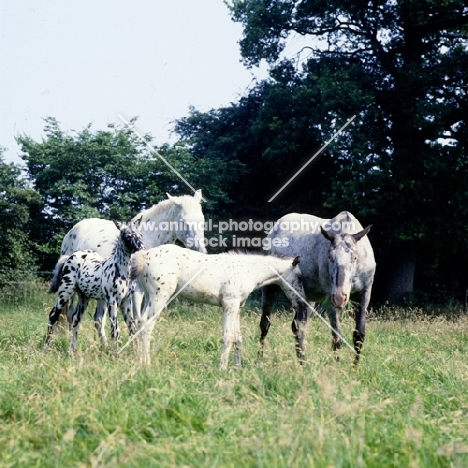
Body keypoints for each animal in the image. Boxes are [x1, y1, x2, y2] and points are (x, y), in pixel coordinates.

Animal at [46, 220, 144, 352]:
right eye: (127, 236)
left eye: (140, 234)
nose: (141, 248)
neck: (121, 271)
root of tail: (69, 257)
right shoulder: (112, 301)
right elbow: (115, 330)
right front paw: (116, 353)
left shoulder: (126, 302)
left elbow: (132, 328)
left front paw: (135, 352)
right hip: (65, 292)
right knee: (53, 316)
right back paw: (46, 348)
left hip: (83, 297)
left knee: (76, 319)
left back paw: (73, 351)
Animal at [132, 245, 308, 370]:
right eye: (300, 277)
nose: (302, 303)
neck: (247, 269)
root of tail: (145, 255)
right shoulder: (229, 304)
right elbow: (228, 337)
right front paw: (222, 369)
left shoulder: (237, 307)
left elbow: (238, 339)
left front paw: (238, 370)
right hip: (159, 297)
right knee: (146, 326)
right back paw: (147, 365)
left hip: (148, 296)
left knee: (139, 323)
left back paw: (140, 361)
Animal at [262, 210, 374, 364]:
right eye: (330, 257)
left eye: (354, 258)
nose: (340, 297)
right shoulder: (330, 299)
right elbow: (337, 337)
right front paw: (337, 365)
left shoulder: (364, 292)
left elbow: (359, 335)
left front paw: (355, 366)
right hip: (271, 288)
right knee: (265, 324)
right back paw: (259, 359)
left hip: (306, 299)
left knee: (298, 326)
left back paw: (303, 362)